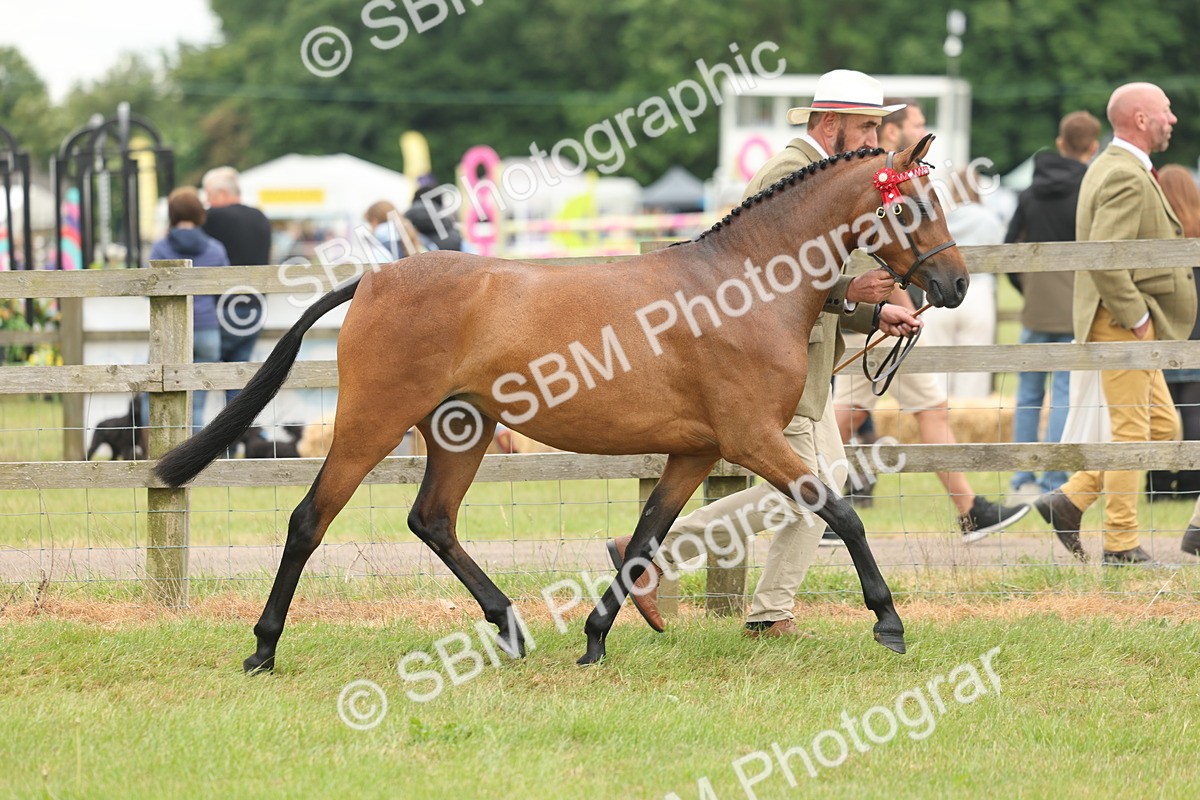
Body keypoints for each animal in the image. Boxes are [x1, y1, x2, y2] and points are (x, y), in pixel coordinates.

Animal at [154, 134, 968, 672]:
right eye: (912, 205)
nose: (955, 285)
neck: (744, 284)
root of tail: (376, 278)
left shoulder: (695, 450)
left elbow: (643, 539)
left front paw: (596, 638)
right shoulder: (751, 438)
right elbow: (842, 513)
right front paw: (889, 622)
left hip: (462, 429)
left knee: (433, 521)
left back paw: (510, 628)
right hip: (371, 422)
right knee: (309, 520)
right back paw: (263, 649)